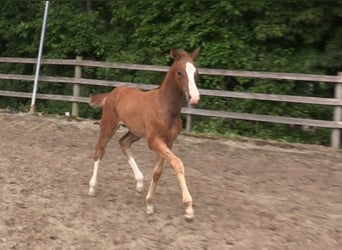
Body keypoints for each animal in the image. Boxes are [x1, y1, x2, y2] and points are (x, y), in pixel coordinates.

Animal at [87, 47, 200, 220]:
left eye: (195, 72)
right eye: (180, 72)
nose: (194, 98)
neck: (165, 106)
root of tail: (112, 93)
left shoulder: (168, 141)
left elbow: (157, 171)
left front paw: (149, 203)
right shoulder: (154, 141)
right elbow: (177, 163)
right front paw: (188, 207)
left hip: (135, 132)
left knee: (123, 143)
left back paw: (139, 182)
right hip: (108, 126)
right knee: (99, 150)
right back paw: (92, 187)